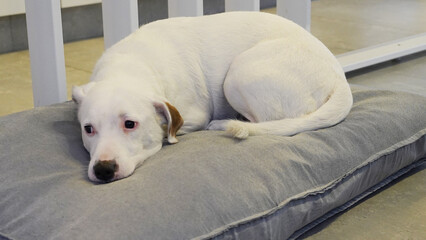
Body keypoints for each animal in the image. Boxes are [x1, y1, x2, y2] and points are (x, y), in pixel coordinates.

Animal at [72, 11, 352, 182]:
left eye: (130, 124)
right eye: (88, 129)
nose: (103, 169)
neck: (130, 65)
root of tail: (339, 76)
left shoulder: (194, 116)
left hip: (239, 74)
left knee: (265, 123)